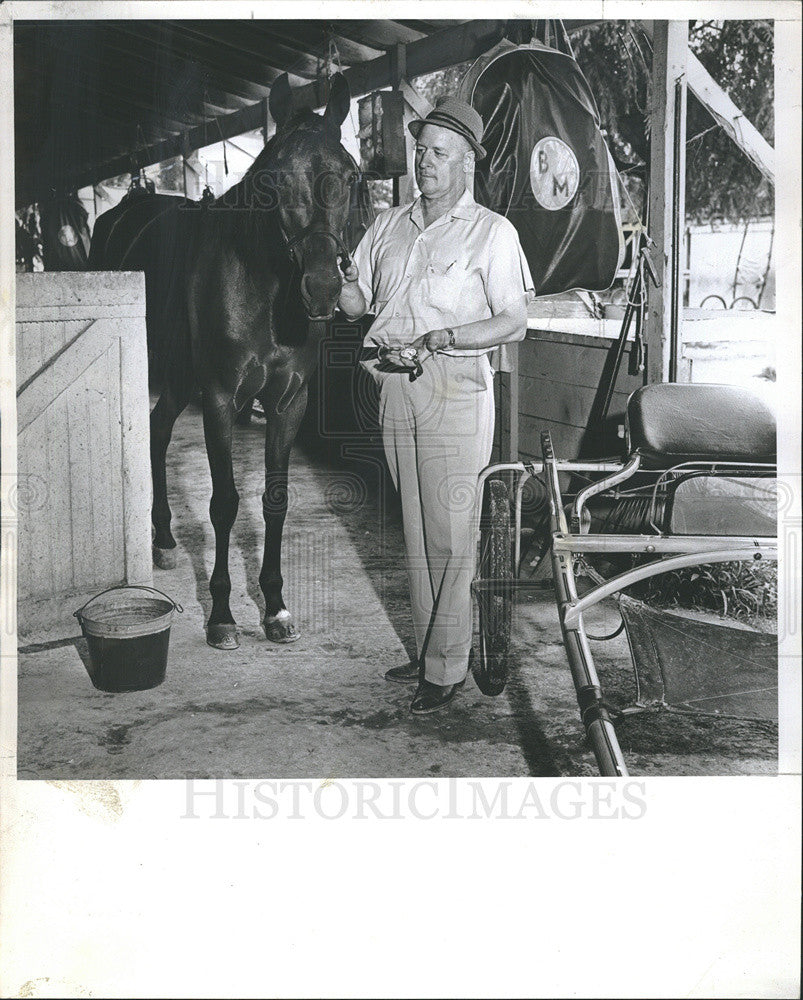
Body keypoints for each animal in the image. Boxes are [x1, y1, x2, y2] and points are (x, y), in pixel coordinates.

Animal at [89, 72, 362, 648]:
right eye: (275, 179)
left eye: (350, 174)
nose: (322, 289)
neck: (261, 284)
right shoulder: (218, 398)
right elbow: (224, 503)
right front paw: (221, 615)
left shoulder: (288, 401)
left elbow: (274, 500)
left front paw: (276, 608)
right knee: (157, 433)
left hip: (177, 376)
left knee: (159, 429)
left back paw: (165, 537)